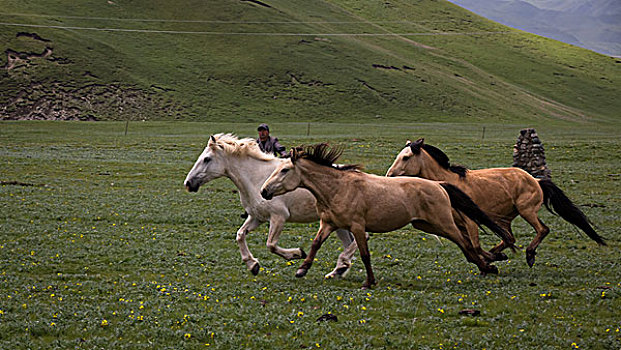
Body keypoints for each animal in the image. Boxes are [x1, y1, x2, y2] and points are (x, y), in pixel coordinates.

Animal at [183, 134, 354, 278]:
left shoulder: (278, 217)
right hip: (336, 224)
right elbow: (240, 235)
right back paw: (337, 271)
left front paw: (297, 253)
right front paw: (253, 265)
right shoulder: (257, 217)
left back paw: (340, 265)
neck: (257, 178)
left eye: (206, 159)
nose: (188, 183)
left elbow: (271, 244)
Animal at [260, 144, 512, 288]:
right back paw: (487, 264)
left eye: (285, 170)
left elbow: (364, 255)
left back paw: (488, 266)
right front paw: (302, 268)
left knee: (465, 242)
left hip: (442, 223)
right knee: (465, 243)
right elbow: (314, 245)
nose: (264, 191)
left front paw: (369, 282)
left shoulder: (357, 226)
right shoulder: (328, 223)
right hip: (426, 225)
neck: (338, 188)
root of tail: (439, 184)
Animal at [386, 138, 604, 266]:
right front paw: (493, 257)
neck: (447, 182)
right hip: (504, 218)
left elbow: (474, 245)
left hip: (526, 210)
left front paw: (491, 259)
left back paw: (529, 255)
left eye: (406, 157)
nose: (389, 176)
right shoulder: (461, 223)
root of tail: (536, 180)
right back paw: (501, 253)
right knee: (509, 238)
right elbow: (471, 245)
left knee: (542, 229)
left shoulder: (470, 220)